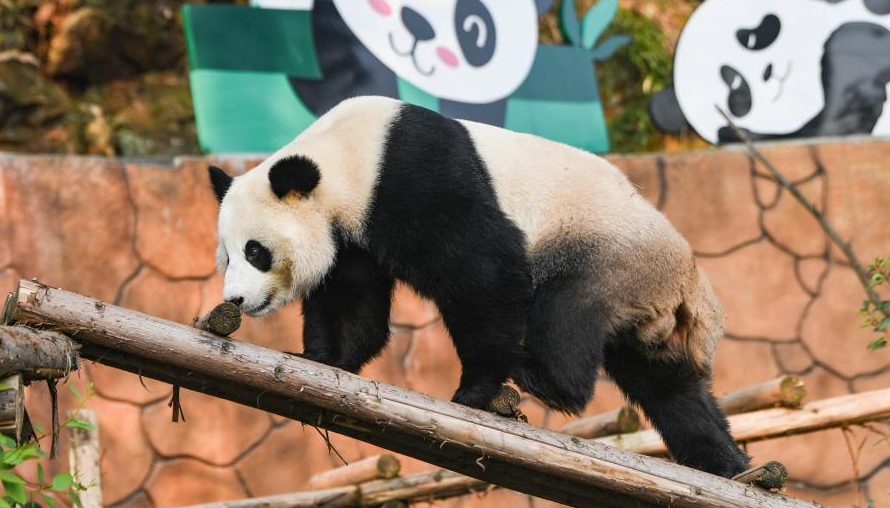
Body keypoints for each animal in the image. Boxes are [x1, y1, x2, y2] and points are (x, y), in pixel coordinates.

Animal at [206, 96, 748, 480]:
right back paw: (728, 463)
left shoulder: (412, 176)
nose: (236, 300)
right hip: (640, 299)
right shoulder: (355, 232)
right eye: (227, 256)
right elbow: (352, 300)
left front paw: (475, 390)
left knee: (565, 310)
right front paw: (320, 359)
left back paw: (542, 376)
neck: (346, 157)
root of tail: (690, 287)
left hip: (606, 256)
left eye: (255, 251)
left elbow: (484, 267)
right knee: (667, 385)